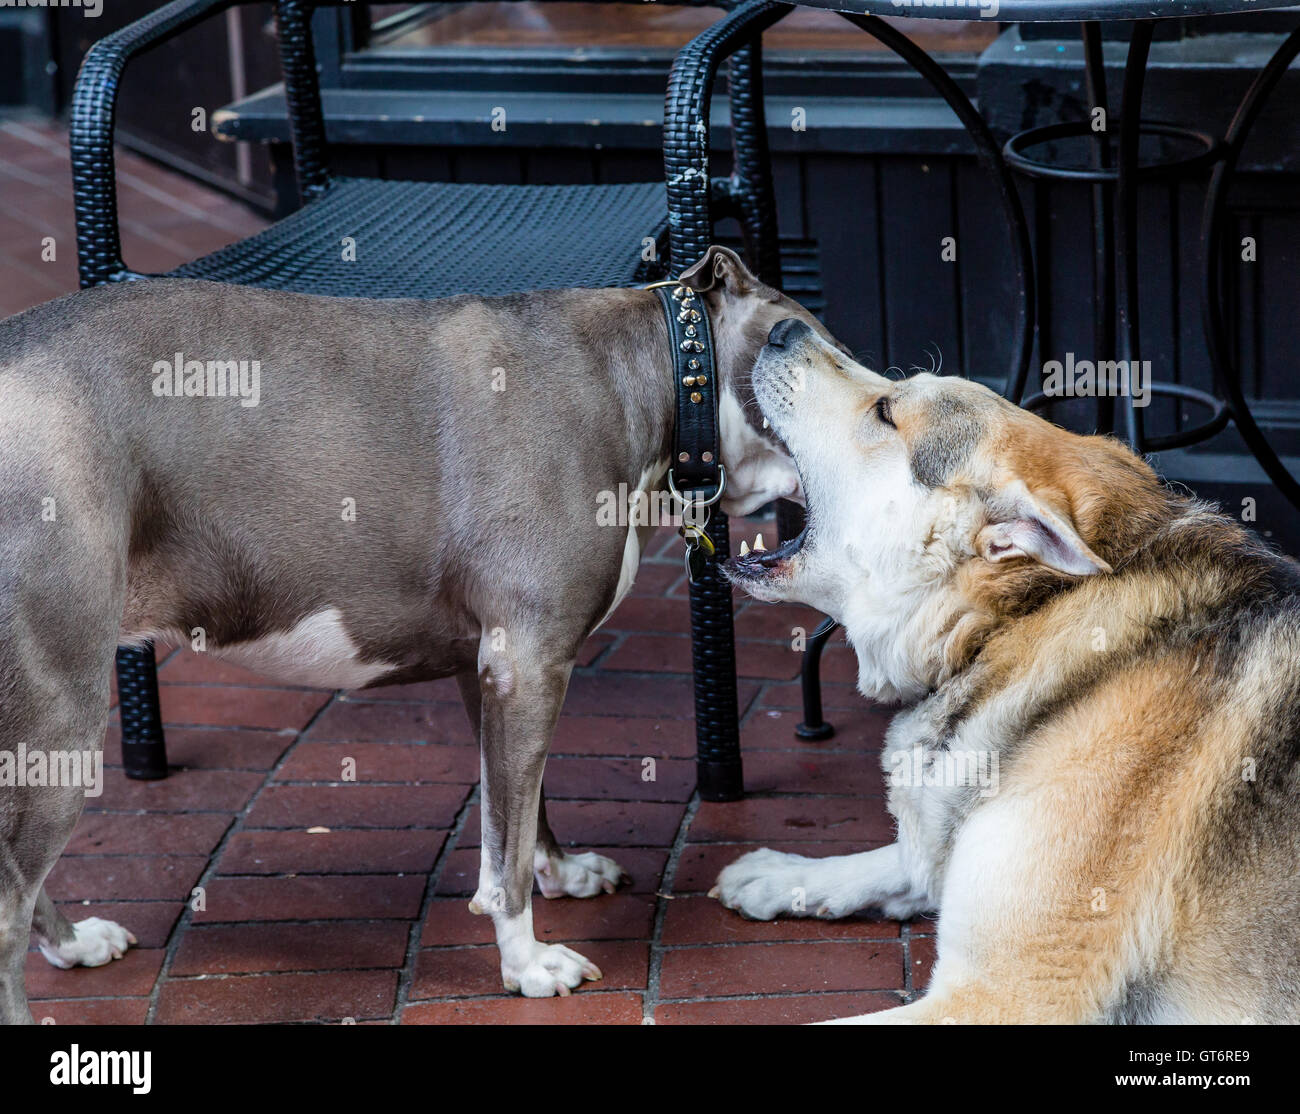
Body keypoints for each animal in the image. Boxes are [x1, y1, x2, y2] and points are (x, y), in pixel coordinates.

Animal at [0, 248, 842, 1019]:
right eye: (830, 356)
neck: (659, 371)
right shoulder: (530, 661)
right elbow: (504, 856)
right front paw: (528, 964)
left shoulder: (494, 667)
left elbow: (520, 809)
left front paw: (563, 874)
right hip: (61, 711)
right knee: (9, 901)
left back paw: (76, 946)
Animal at [717, 317, 1294, 1019]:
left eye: (885, 411)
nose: (784, 326)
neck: (1009, 626)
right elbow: (897, 859)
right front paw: (781, 874)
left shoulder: (1004, 994)